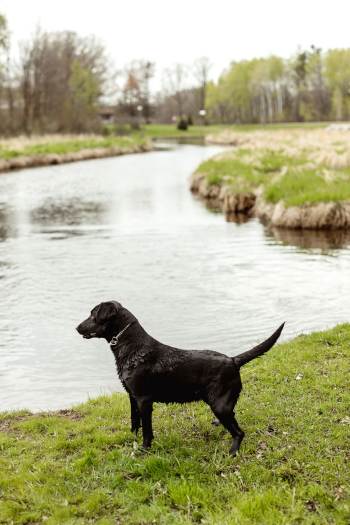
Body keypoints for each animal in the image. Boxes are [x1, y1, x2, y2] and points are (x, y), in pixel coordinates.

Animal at [76, 300, 284, 456]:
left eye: (93, 315)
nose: (76, 327)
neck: (133, 349)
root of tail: (233, 360)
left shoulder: (144, 400)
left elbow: (147, 430)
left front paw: (144, 450)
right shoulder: (131, 396)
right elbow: (134, 422)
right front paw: (131, 440)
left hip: (220, 405)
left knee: (239, 432)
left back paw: (232, 453)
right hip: (223, 405)